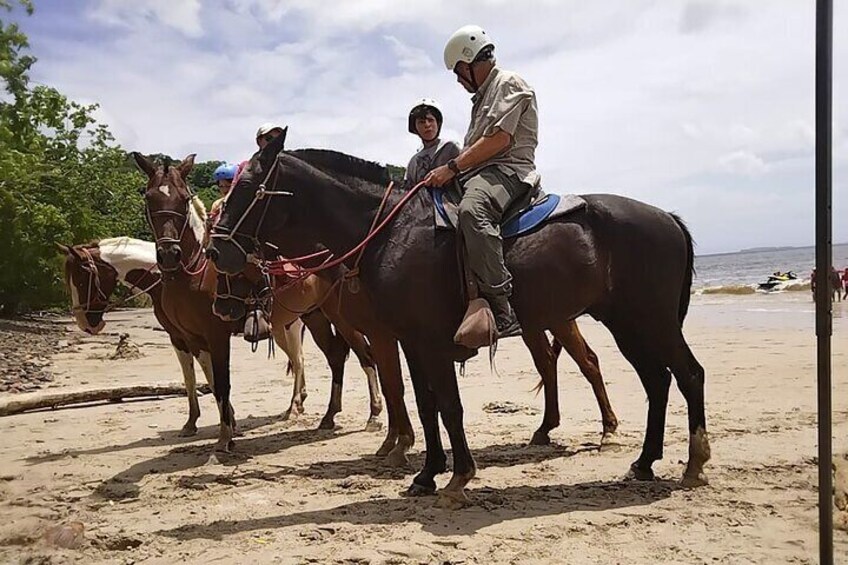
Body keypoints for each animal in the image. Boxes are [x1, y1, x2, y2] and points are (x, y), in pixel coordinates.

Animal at [207, 133, 708, 502]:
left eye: (246, 187)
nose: (215, 250)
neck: (390, 230)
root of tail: (667, 217)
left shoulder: (426, 340)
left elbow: (448, 405)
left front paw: (458, 474)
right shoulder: (409, 341)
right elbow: (425, 405)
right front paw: (427, 473)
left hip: (652, 321)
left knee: (687, 375)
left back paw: (694, 462)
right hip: (627, 324)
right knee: (656, 381)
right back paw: (644, 462)